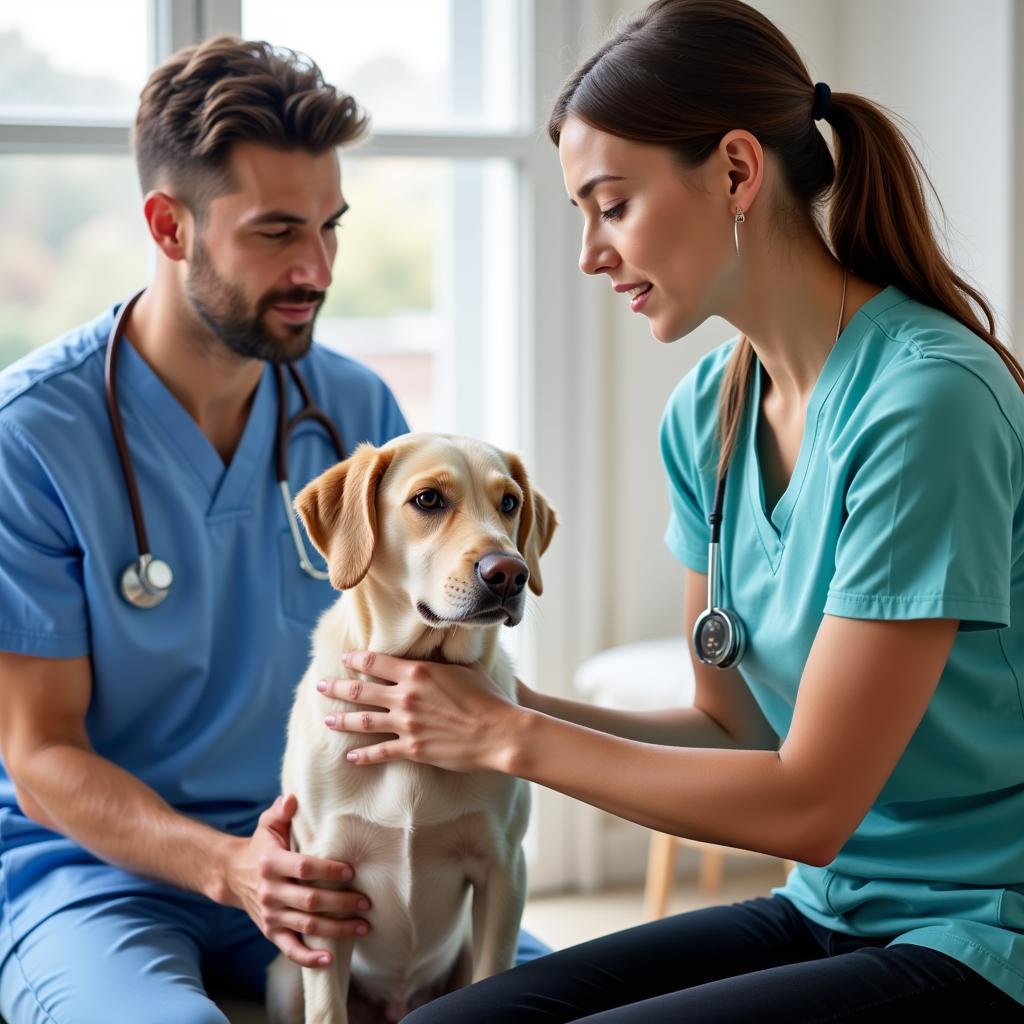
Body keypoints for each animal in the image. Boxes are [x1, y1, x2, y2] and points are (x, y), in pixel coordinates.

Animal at [264, 434, 552, 1024]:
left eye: (509, 503)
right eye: (428, 500)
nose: (509, 573)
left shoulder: (503, 872)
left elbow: (492, 972)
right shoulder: (322, 879)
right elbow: (326, 1009)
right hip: (283, 979)